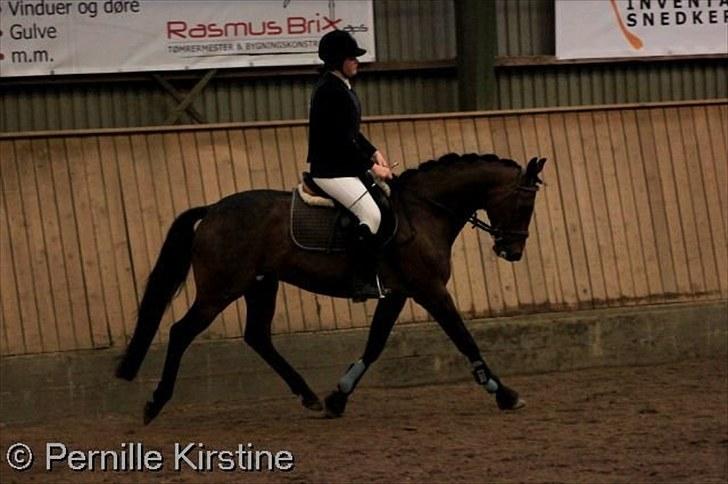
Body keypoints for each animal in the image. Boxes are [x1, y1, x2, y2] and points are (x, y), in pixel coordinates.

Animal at [115, 152, 544, 424]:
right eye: (524, 205)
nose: (513, 251)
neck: (424, 212)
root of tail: (212, 211)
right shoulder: (430, 290)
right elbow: (464, 338)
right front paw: (505, 393)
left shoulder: (399, 293)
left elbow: (375, 344)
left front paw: (338, 397)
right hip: (220, 289)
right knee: (181, 332)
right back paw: (155, 403)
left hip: (260, 285)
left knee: (257, 336)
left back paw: (308, 396)